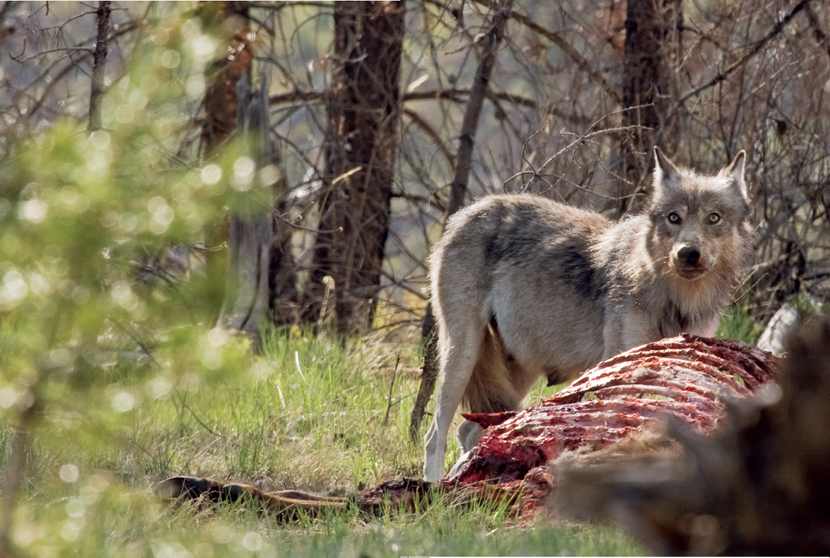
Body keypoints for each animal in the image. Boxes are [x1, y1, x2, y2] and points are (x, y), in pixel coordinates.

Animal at [426, 148, 756, 482]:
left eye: (713, 218)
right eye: (674, 218)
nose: (688, 253)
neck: (675, 300)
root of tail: (466, 211)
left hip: (518, 372)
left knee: (469, 431)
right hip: (463, 355)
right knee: (435, 434)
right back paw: (435, 486)